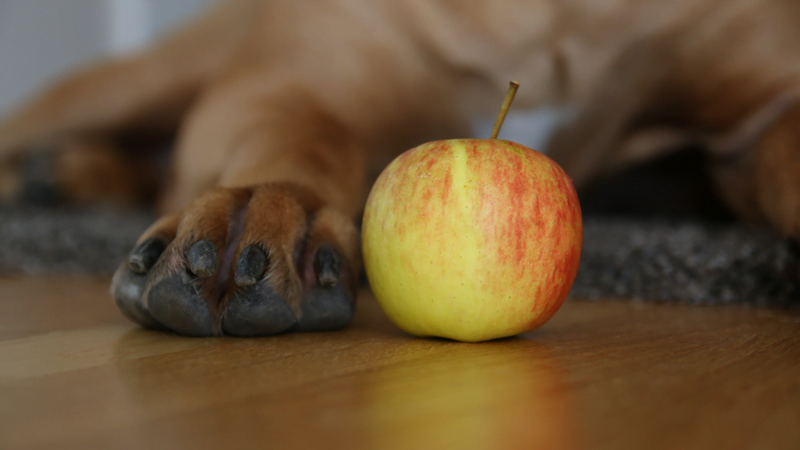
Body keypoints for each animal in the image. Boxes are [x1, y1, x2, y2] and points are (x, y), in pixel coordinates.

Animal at [1, 0, 800, 336]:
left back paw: (67, 176)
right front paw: (262, 215)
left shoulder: (765, 104)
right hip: (149, 76)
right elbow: (302, 144)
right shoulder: (282, 85)